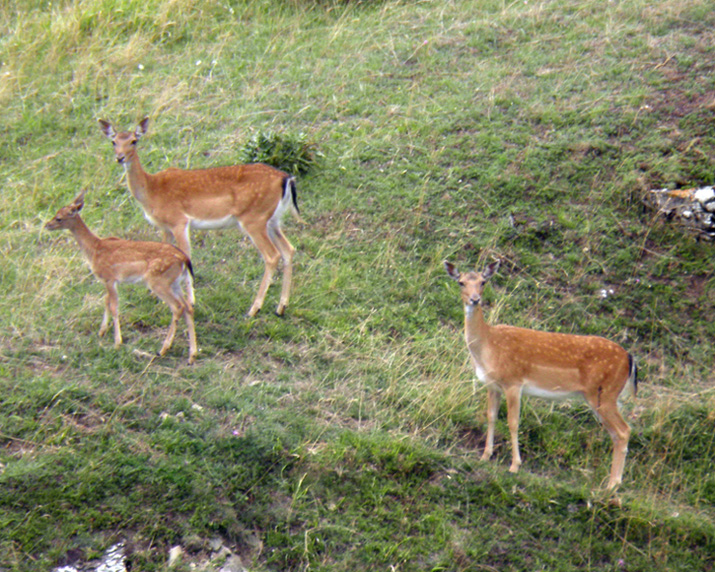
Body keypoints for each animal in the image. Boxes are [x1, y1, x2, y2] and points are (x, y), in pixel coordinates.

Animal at [46, 190, 199, 364]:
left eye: (59, 218)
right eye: (56, 212)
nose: (47, 225)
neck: (94, 249)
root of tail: (184, 259)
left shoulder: (109, 278)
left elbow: (114, 306)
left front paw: (117, 342)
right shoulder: (108, 281)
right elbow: (106, 301)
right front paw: (102, 331)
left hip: (158, 282)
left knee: (177, 307)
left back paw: (163, 349)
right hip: (175, 283)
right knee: (188, 306)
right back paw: (192, 355)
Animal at [99, 116, 300, 318]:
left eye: (134, 140)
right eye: (113, 141)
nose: (120, 157)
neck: (150, 190)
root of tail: (286, 178)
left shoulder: (179, 221)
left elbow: (186, 255)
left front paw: (190, 302)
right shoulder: (165, 227)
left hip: (253, 219)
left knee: (272, 255)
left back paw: (253, 309)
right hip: (272, 220)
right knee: (288, 249)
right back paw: (281, 307)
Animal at [448, 260, 636, 488]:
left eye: (483, 282)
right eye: (461, 282)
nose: (475, 299)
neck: (488, 346)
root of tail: (629, 358)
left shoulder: (513, 381)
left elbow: (513, 422)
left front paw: (514, 466)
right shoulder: (492, 385)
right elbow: (491, 416)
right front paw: (485, 456)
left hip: (606, 393)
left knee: (624, 430)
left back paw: (612, 486)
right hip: (604, 396)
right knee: (616, 433)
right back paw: (611, 483)